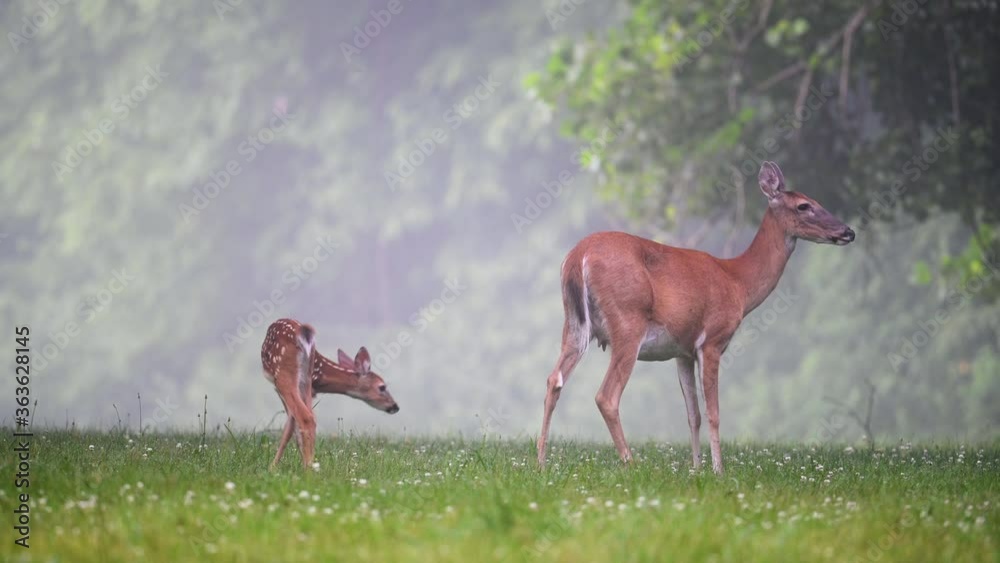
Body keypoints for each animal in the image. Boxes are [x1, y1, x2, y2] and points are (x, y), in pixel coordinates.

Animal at [262, 318, 398, 472]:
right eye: (382, 387)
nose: (395, 406)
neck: (322, 375)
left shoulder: (280, 388)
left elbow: (290, 425)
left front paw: (272, 467)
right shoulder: (312, 389)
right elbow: (293, 426)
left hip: (283, 375)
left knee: (305, 417)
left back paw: (307, 469)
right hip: (303, 379)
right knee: (310, 417)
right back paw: (309, 465)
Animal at [536, 161, 856, 474]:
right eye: (804, 205)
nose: (848, 231)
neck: (738, 282)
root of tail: (578, 256)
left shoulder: (683, 351)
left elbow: (694, 413)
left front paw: (697, 469)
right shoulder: (713, 340)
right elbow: (714, 412)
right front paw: (718, 470)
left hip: (575, 324)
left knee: (554, 379)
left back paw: (541, 463)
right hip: (627, 321)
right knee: (606, 396)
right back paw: (631, 463)